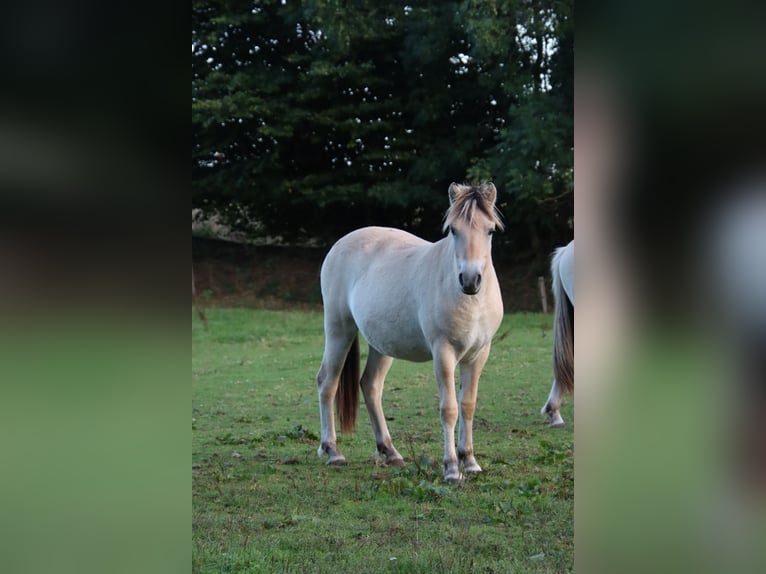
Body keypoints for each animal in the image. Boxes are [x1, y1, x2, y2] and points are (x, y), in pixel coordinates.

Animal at [316, 183, 508, 482]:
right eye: (454, 230)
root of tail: (341, 244)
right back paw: (333, 451)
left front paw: (470, 461)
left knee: (370, 386)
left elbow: (467, 405)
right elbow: (449, 409)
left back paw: (390, 452)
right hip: (339, 330)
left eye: (490, 230)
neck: (470, 301)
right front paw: (451, 468)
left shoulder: (478, 354)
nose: (470, 280)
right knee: (327, 382)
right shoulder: (443, 353)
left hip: (381, 346)